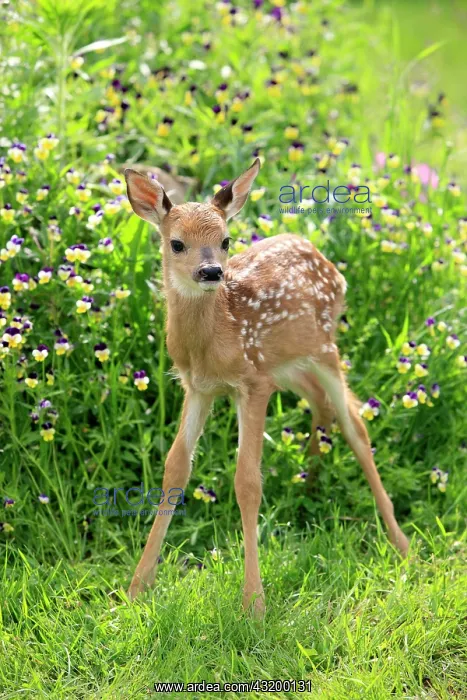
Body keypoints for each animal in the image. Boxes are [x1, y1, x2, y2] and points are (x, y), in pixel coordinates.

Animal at [124, 159, 410, 616]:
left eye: (225, 240)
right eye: (176, 243)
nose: (211, 272)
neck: (216, 336)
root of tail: (329, 262)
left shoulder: (253, 383)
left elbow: (247, 482)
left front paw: (254, 603)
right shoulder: (198, 387)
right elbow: (175, 470)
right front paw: (137, 587)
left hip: (325, 348)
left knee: (355, 424)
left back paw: (400, 543)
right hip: (289, 364)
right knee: (322, 405)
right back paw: (310, 481)